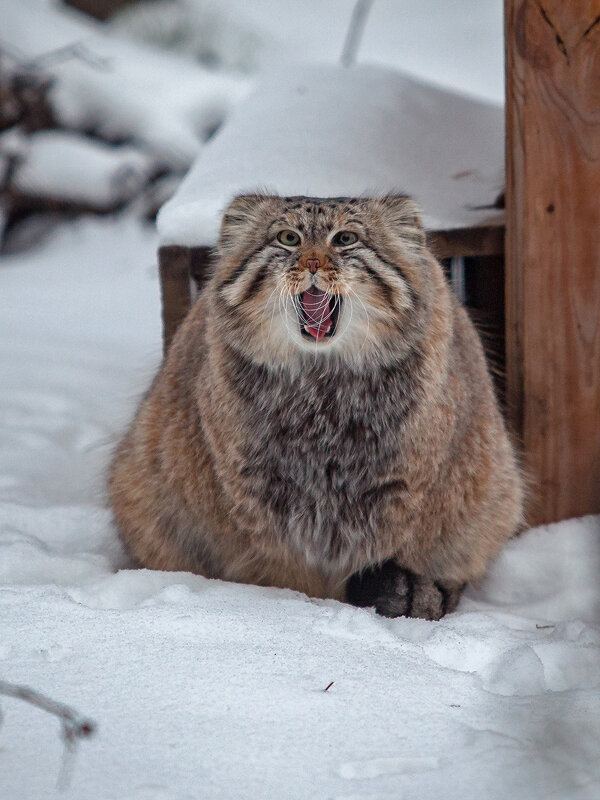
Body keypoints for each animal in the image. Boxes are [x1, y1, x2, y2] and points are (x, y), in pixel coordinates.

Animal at [110, 194, 524, 620]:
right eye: (288, 238)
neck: (321, 389)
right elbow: (287, 567)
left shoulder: (397, 488)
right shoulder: (258, 491)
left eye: (345, 239)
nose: (312, 263)